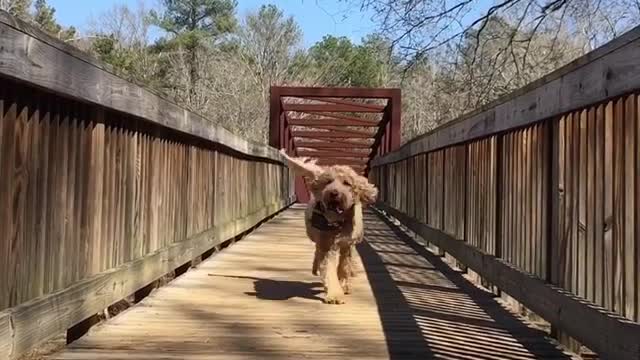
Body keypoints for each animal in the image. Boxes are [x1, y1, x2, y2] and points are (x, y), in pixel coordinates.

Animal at [278, 149, 378, 304]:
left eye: (347, 183)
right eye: (328, 181)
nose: (334, 193)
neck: (337, 222)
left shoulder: (347, 244)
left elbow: (343, 265)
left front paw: (343, 283)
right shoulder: (327, 245)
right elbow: (328, 268)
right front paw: (335, 294)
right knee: (317, 252)